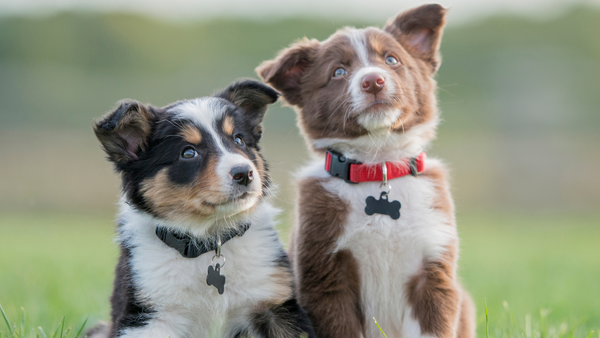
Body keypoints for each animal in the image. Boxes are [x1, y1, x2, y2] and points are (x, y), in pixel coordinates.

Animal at [88, 80, 318, 338]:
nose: (244, 173)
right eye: (188, 152)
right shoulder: (147, 316)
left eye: (238, 140)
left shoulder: (275, 306)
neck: (209, 240)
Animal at [255, 4, 476, 338]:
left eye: (391, 60)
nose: (373, 81)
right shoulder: (325, 276)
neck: (377, 166)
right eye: (338, 72)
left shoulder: (434, 270)